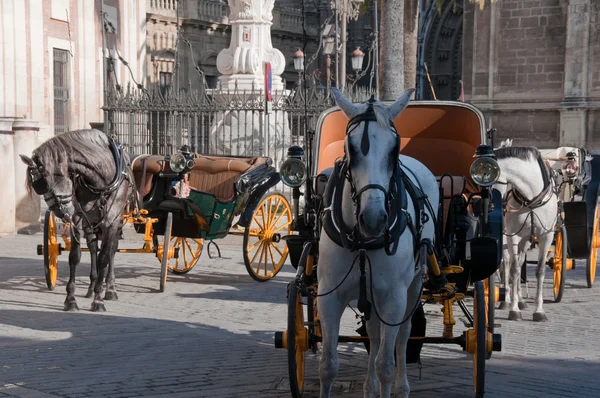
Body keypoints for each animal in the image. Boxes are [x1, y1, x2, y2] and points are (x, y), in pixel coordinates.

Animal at [19, 129, 136, 312]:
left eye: (44, 183)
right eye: (39, 188)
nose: (61, 213)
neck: (100, 179)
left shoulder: (111, 220)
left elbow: (104, 257)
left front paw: (98, 300)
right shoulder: (78, 218)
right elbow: (75, 256)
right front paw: (71, 299)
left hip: (116, 221)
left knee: (111, 250)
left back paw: (109, 288)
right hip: (90, 222)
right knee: (93, 247)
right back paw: (92, 286)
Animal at [318, 88, 440, 398]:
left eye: (394, 149)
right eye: (350, 148)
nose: (373, 219)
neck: (363, 242)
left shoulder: (394, 298)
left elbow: (386, 363)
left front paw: (389, 381)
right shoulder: (328, 295)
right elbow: (328, 365)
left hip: (413, 286)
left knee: (403, 336)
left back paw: (402, 386)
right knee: (373, 334)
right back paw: (369, 387)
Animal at [492, 146, 556, 320]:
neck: (531, 198)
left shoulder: (546, 236)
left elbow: (539, 270)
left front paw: (539, 310)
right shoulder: (513, 235)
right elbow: (513, 270)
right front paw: (513, 309)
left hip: (526, 240)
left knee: (520, 263)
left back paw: (520, 299)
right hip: (506, 236)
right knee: (507, 263)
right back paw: (506, 300)